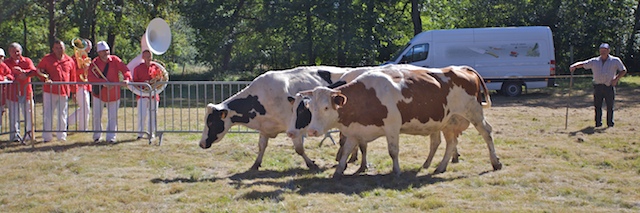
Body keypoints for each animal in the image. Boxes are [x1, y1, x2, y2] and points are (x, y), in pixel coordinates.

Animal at [200, 65, 350, 171]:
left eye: (211, 122)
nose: (201, 144)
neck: (262, 97)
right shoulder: (264, 128)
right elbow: (261, 147)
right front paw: (256, 164)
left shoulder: (293, 127)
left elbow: (299, 149)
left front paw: (311, 164)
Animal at [302, 64, 502, 177]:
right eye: (310, 107)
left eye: (326, 107)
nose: (311, 131)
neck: (366, 97)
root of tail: (463, 69)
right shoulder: (354, 131)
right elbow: (345, 151)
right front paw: (338, 171)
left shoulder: (392, 127)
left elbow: (393, 151)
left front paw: (396, 171)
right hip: (449, 121)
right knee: (451, 142)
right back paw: (440, 167)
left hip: (474, 112)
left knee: (486, 132)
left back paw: (495, 162)